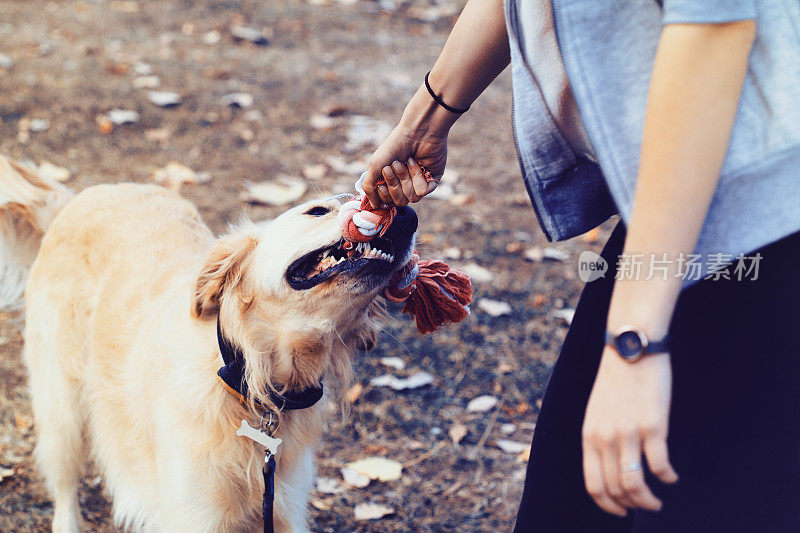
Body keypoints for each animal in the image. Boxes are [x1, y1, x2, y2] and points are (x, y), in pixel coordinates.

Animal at [3, 153, 418, 528]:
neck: (250, 378)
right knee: (63, 486)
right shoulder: (194, 512)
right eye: (316, 211)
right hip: (61, 406)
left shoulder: (283, 506)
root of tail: (76, 199)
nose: (409, 217)